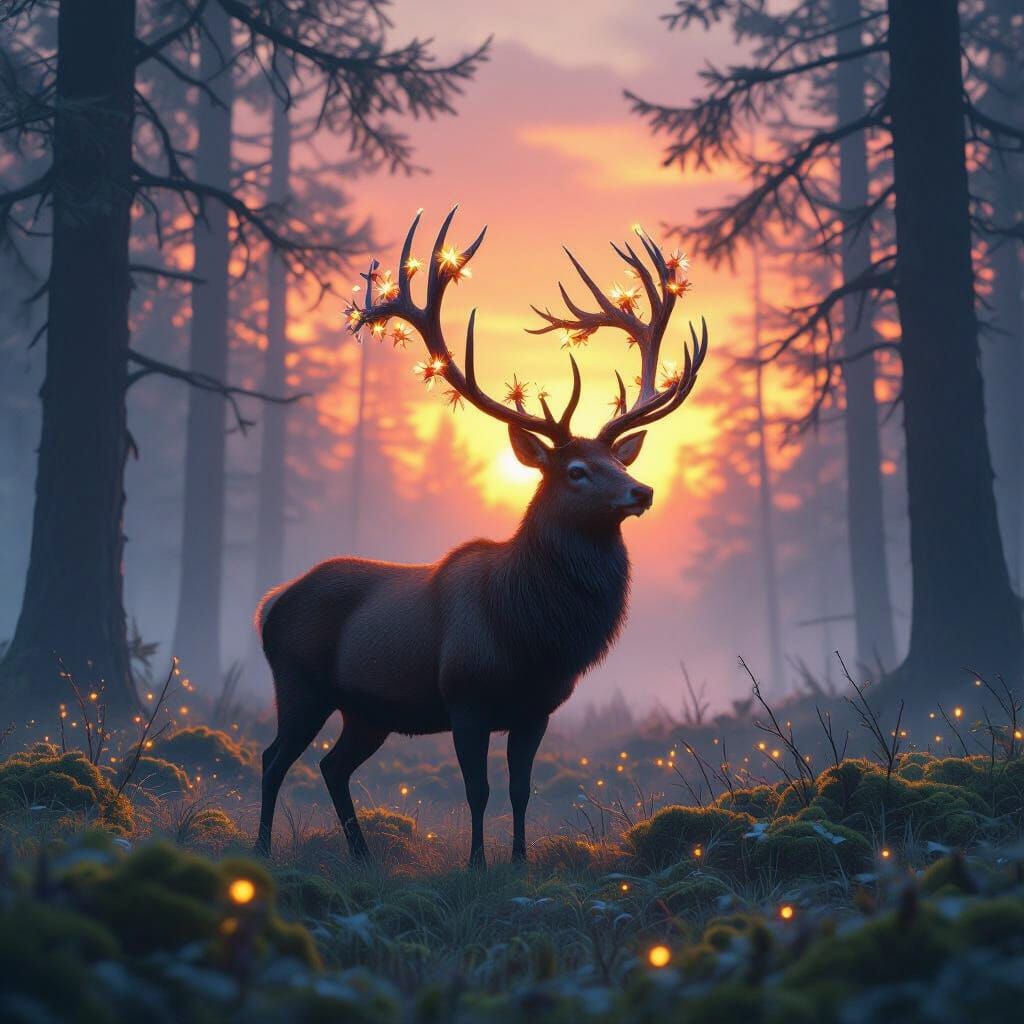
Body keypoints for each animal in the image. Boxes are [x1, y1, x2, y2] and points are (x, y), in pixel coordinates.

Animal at [254, 207, 708, 866]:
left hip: (368, 710)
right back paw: (263, 848)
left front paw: (517, 863)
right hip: (300, 682)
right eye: (576, 470)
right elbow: (478, 790)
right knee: (274, 758)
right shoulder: (465, 696)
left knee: (332, 766)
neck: (531, 633)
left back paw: (363, 856)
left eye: (618, 461)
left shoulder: (537, 707)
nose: (642, 491)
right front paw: (475, 865)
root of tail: (268, 604)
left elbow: (521, 790)